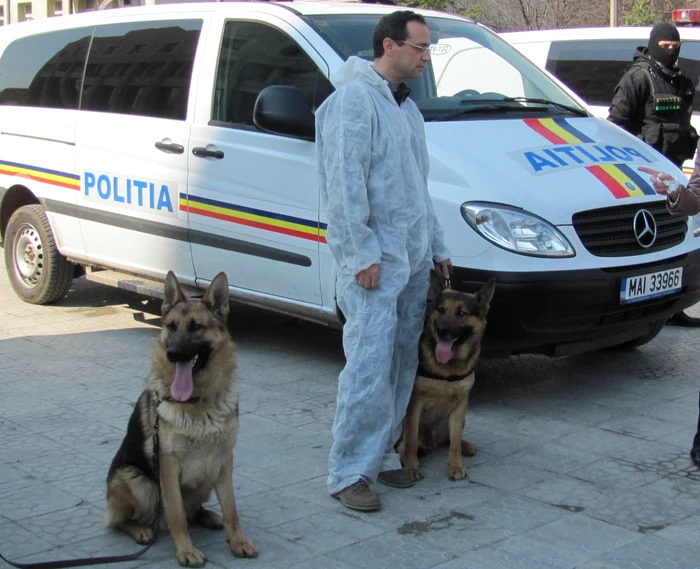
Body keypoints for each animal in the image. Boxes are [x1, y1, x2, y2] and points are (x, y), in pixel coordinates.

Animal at [104, 270, 258, 564]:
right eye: (171, 327)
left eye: (196, 326)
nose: (172, 353)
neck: (199, 402)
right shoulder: (168, 467)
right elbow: (177, 517)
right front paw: (186, 551)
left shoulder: (224, 462)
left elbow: (231, 509)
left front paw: (238, 541)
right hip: (138, 481)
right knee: (119, 521)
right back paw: (141, 530)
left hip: (205, 479)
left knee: (194, 510)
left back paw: (209, 516)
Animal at [402, 270, 494, 480]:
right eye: (441, 310)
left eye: (461, 313)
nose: (442, 330)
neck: (449, 368)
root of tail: (431, 441)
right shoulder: (415, 404)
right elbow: (411, 440)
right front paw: (411, 466)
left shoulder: (461, 405)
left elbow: (455, 443)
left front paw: (456, 465)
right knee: (406, 442)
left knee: (450, 439)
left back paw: (465, 445)